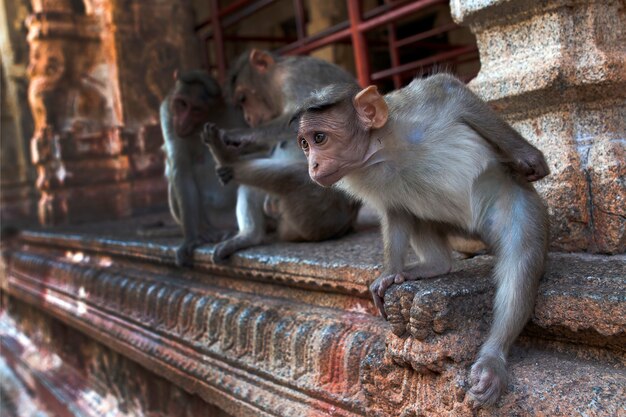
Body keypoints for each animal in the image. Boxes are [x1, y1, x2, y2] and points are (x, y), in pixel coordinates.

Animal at [197, 50, 358, 262]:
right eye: (240, 104)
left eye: (243, 99)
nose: (248, 118)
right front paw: (241, 147)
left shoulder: (297, 76)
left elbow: (306, 119)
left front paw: (236, 135)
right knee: (253, 185)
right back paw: (249, 236)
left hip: (326, 209)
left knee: (292, 178)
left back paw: (224, 155)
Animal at [292, 73, 544, 404]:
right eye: (304, 144)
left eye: (319, 138)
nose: (313, 165)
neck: (380, 152)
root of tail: (474, 233)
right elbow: (395, 211)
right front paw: (390, 273)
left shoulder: (415, 110)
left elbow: (449, 89)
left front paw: (529, 156)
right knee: (419, 214)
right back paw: (435, 266)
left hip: (506, 198)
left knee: (522, 252)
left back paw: (492, 358)